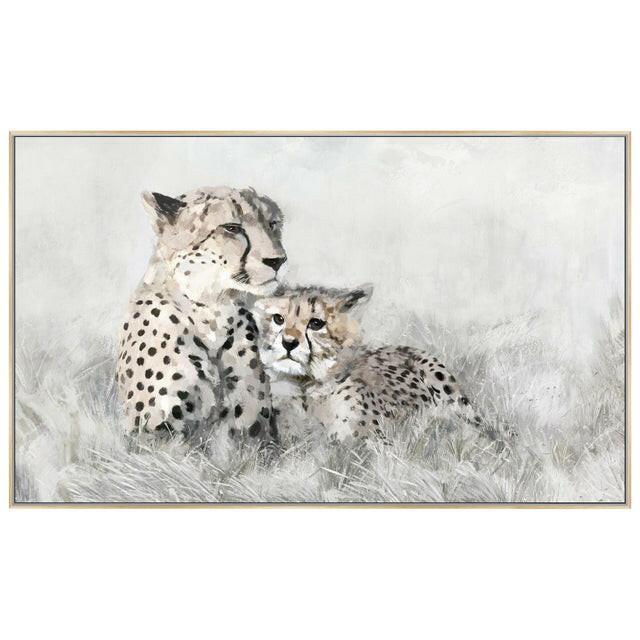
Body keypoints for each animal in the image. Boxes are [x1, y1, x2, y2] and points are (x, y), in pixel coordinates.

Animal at [115, 186, 287, 447]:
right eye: (232, 228)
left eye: (272, 224)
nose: (278, 260)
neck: (214, 312)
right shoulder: (150, 432)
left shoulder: (254, 436)